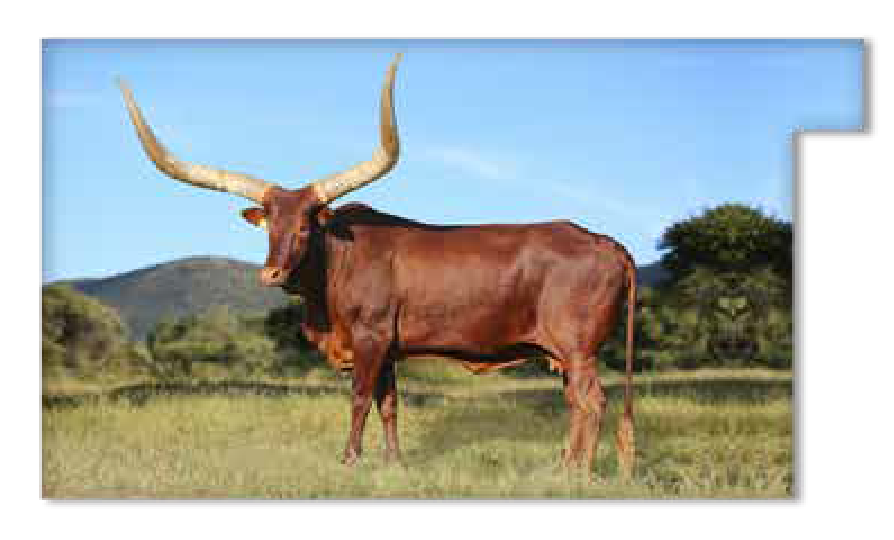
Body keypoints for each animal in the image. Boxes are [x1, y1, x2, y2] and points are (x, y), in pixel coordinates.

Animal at [118, 54, 636, 477]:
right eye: (269, 226)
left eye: (306, 226)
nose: (271, 274)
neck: (333, 276)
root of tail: (609, 244)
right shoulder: (389, 347)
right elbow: (390, 404)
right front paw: (395, 463)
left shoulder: (370, 337)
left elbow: (360, 399)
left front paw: (349, 460)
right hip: (566, 355)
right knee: (576, 403)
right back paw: (564, 467)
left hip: (578, 349)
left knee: (591, 401)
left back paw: (577, 474)